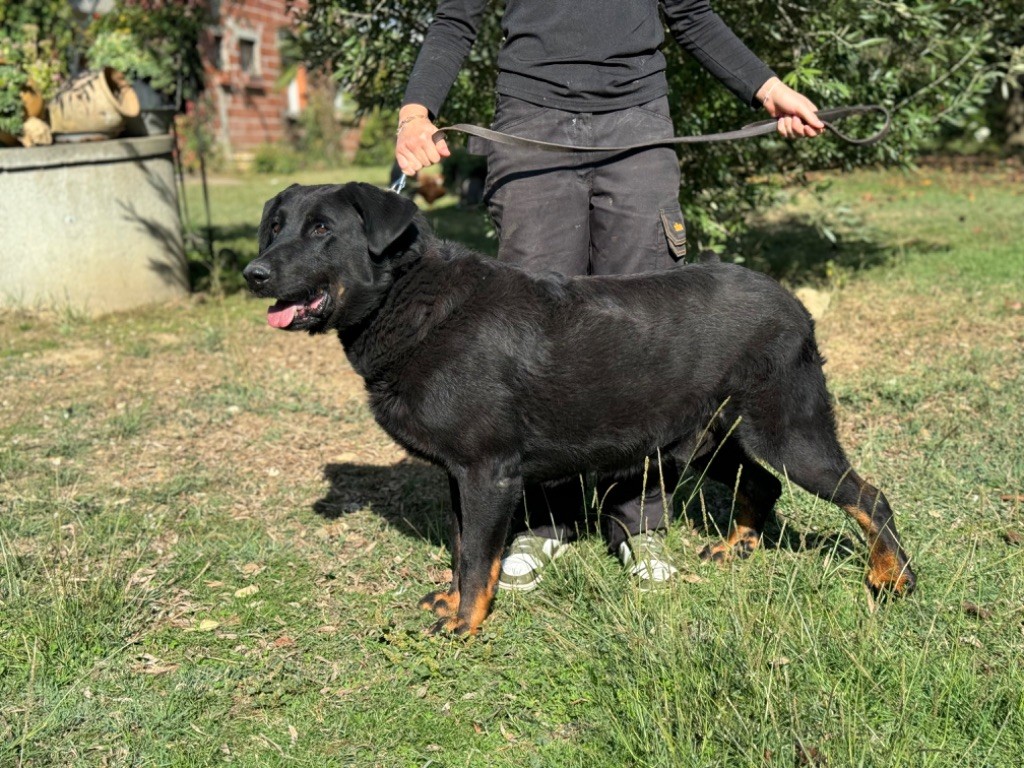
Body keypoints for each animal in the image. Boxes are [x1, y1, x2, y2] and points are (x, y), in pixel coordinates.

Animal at [243, 182, 917, 638]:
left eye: (322, 230)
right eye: (274, 226)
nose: (253, 273)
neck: (412, 302)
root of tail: (795, 303)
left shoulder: (488, 472)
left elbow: (478, 557)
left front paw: (466, 622)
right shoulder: (459, 475)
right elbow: (461, 549)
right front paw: (452, 600)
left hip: (787, 430)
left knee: (867, 496)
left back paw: (892, 576)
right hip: (706, 437)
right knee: (762, 484)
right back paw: (737, 547)